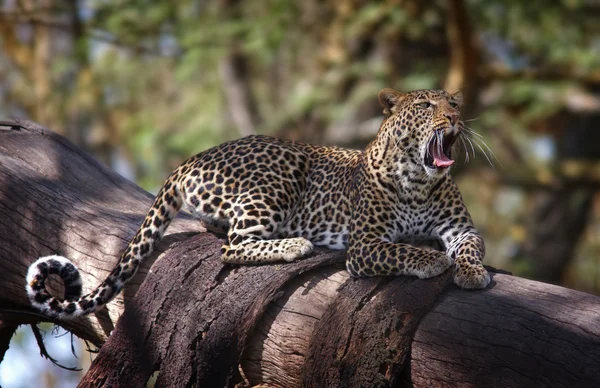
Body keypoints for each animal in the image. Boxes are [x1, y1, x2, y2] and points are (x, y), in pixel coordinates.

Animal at [25, 89, 490, 320]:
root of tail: (192, 158)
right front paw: (432, 260)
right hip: (282, 170)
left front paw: (472, 272)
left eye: (454, 102)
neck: (417, 179)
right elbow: (403, 249)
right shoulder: (366, 245)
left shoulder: (460, 228)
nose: (454, 117)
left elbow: (470, 246)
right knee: (233, 246)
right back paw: (294, 244)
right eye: (426, 105)